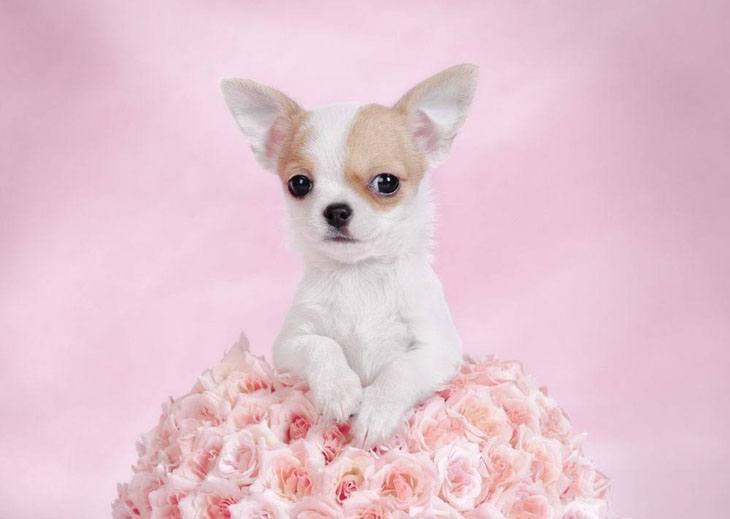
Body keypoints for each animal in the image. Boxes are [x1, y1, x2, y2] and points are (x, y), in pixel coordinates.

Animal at [219, 64, 474, 446]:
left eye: (386, 183)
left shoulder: (438, 350)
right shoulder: (292, 342)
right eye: (299, 184)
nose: (336, 210)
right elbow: (323, 347)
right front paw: (338, 389)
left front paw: (376, 412)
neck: (360, 275)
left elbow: (401, 369)